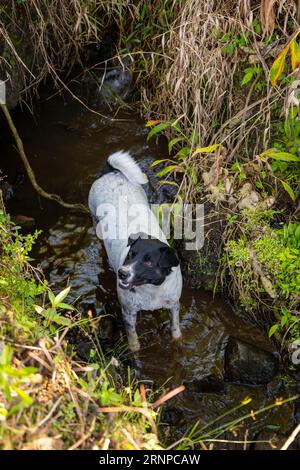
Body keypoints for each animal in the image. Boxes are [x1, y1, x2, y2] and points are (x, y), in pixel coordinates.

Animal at [88, 151, 183, 352]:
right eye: (131, 254)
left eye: (148, 261)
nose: (122, 273)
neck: (152, 289)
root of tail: (112, 172)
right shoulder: (128, 312)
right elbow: (132, 336)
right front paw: (134, 350)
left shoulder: (173, 305)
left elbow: (175, 327)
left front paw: (177, 340)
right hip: (94, 217)